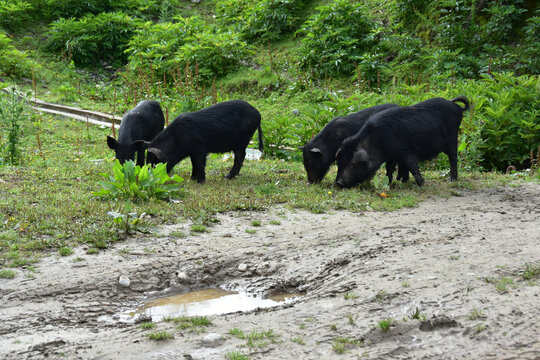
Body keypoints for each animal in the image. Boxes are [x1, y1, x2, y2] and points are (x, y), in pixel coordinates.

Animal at [336, 97, 470, 187]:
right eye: (340, 162)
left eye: (352, 163)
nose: (338, 182)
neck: (375, 142)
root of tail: (456, 107)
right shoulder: (391, 156)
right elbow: (390, 169)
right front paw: (391, 182)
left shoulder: (405, 151)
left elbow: (412, 165)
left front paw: (421, 183)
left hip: (452, 139)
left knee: (453, 158)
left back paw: (452, 179)